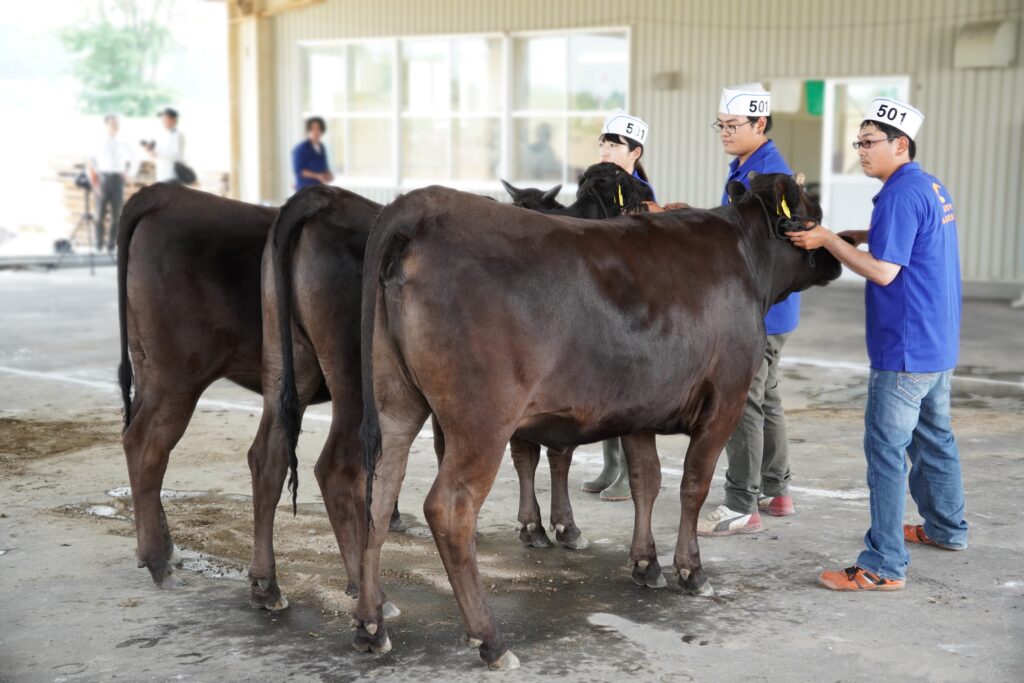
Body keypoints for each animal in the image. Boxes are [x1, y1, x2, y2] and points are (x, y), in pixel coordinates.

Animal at [352, 172, 839, 667]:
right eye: (812, 212)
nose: (833, 256)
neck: (745, 252)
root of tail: (420, 204)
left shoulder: (643, 408)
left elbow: (647, 481)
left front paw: (646, 564)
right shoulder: (726, 399)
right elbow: (693, 485)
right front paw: (691, 571)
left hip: (395, 405)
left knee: (376, 495)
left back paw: (371, 625)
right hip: (481, 422)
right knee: (450, 509)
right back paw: (490, 639)